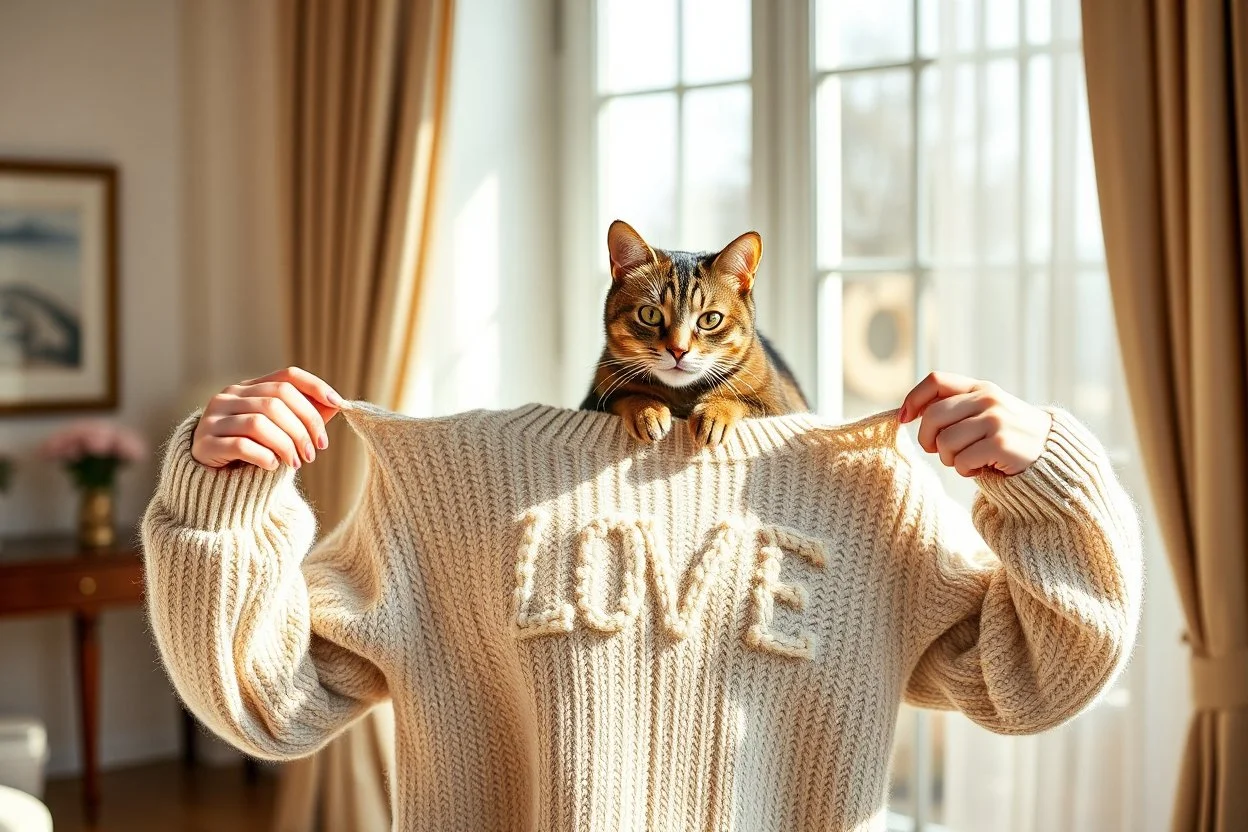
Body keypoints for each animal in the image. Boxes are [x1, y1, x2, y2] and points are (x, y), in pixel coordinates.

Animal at [576, 218, 803, 446]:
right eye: (650, 314)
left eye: (710, 319)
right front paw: (647, 410)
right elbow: (627, 395)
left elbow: (738, 400)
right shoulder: (595, 399)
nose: (678, 350)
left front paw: (714, 413)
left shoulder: (778, 407)